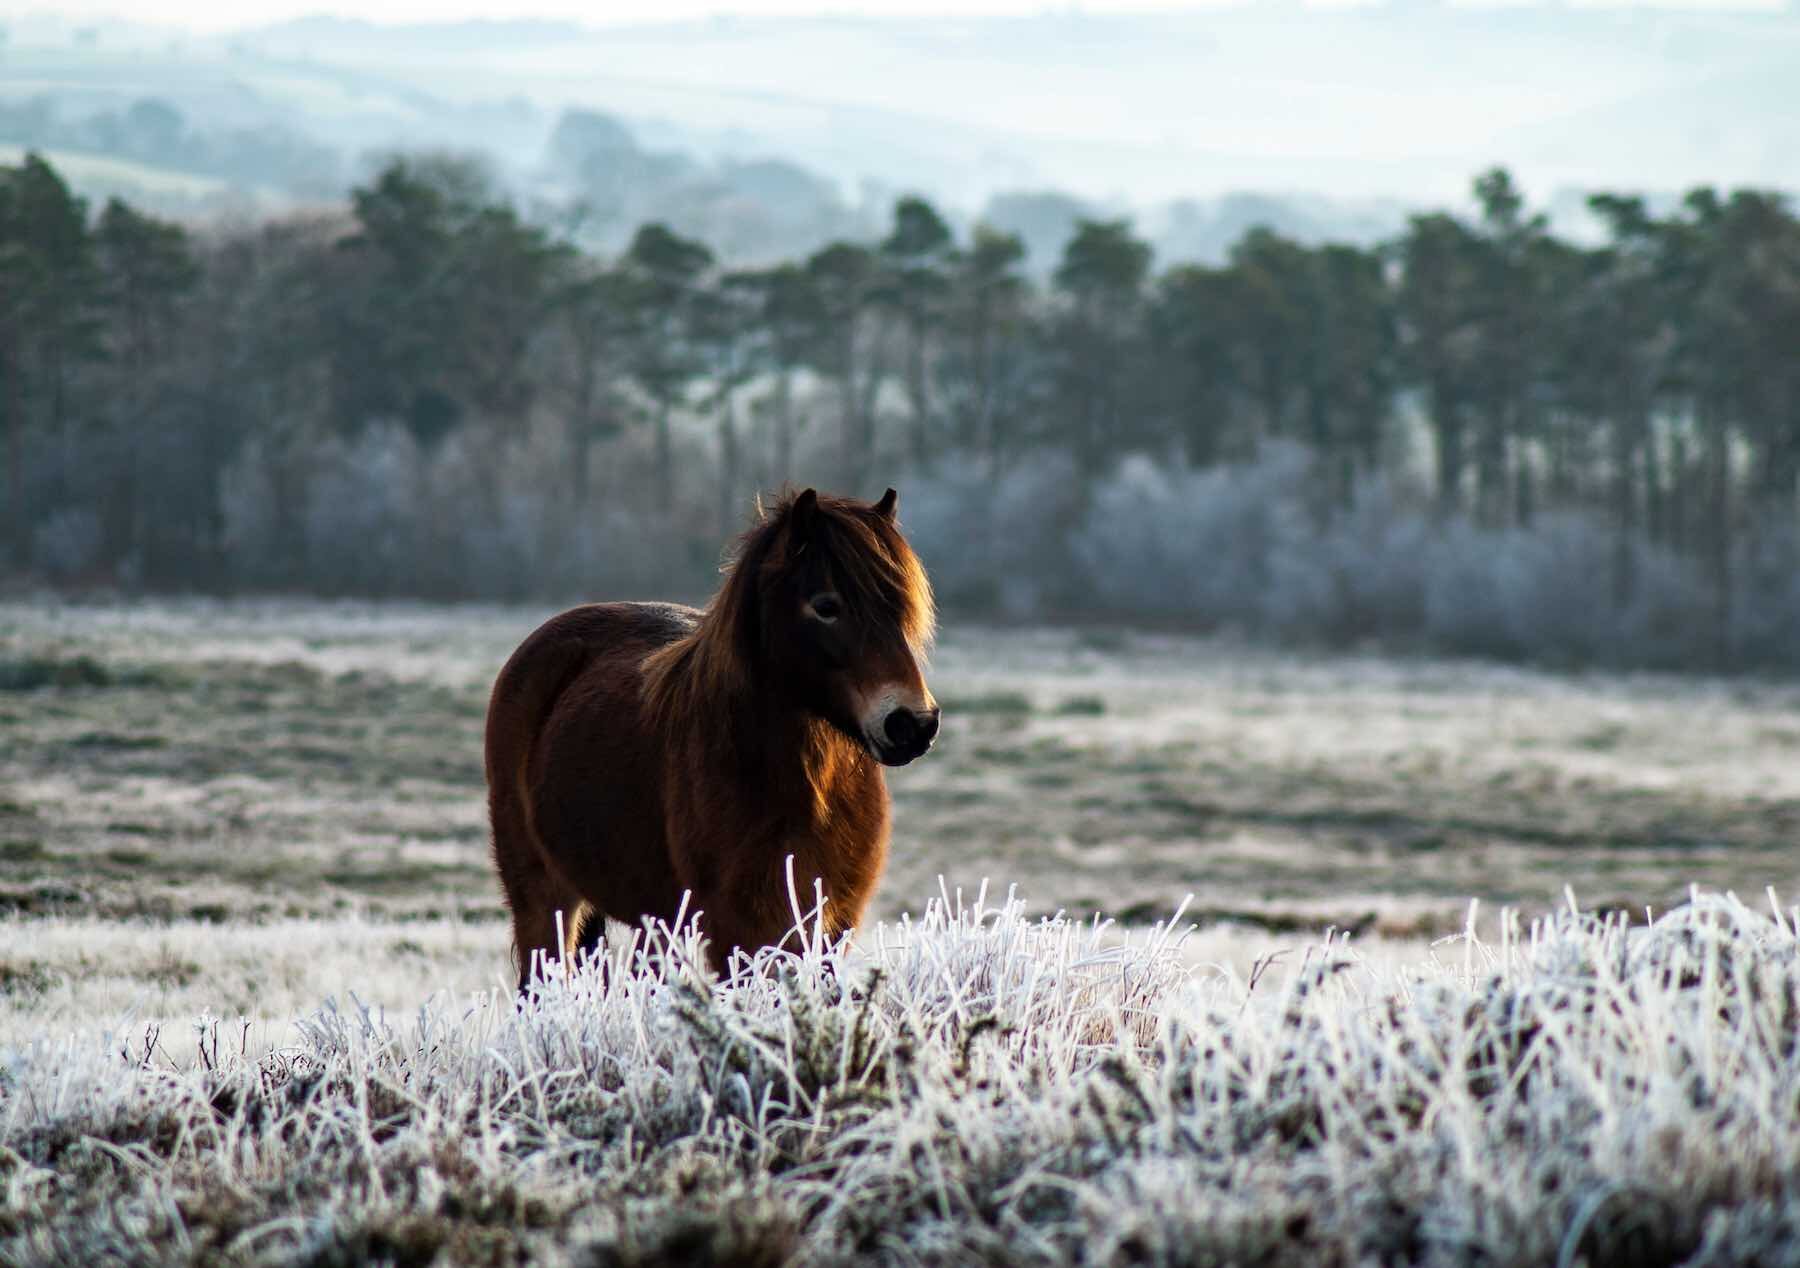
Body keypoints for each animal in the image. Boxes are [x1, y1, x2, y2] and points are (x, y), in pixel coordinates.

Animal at [484, 487, 940, 989]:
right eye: (826, 606)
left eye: (900, 607)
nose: (912, 723)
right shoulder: (738, 933)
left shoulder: (830, 926)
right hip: (541, 897)